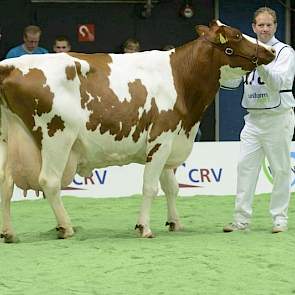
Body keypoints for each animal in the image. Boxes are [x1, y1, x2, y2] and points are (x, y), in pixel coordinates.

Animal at [0, 20, 276, 243]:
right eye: (237, 35)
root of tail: (10, 65)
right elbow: (150, 187)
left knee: (5, 182)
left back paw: (9, 233)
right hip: (57, 136)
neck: (180, 78)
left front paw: (175, 222)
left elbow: (171, 187)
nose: (271, 50)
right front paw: (144, 227)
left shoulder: (171, 142)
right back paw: (65, 227)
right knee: (50, 181)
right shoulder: (161, 139)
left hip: (6, 139)